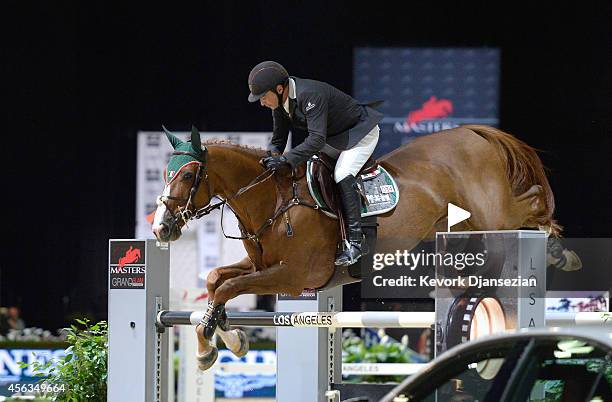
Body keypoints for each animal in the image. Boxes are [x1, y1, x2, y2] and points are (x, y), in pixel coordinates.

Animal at [152, 124, 580, 370]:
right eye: (165, 173)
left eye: (187, 175)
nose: (160, 228)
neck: (272, 199)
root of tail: (472, 134)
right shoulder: (261, 267)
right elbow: (216, 279)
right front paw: (222, 336)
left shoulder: (293, 276)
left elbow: (228, 286)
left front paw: (214, 345)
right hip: (467, 221)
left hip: (495, 213)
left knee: (532, 199)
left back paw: (559, 250)